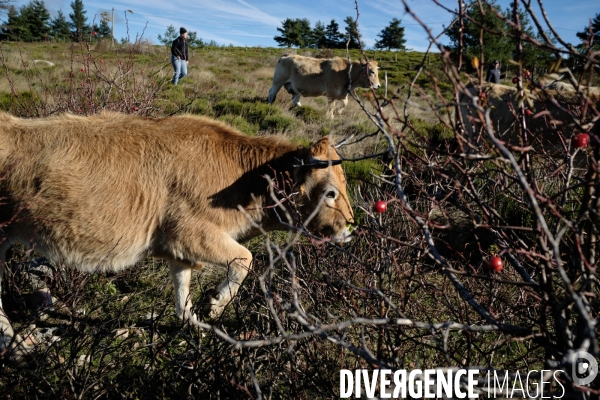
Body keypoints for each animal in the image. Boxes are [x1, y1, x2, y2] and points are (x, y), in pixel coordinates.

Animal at [0, 111, 354, 358]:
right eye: (330, 193)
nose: (350, 229)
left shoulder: (178, 247)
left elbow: (182, 287)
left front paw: (191, 323)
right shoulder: (191, 234)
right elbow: (245, 259)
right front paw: (215, 305)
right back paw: (15, 344)